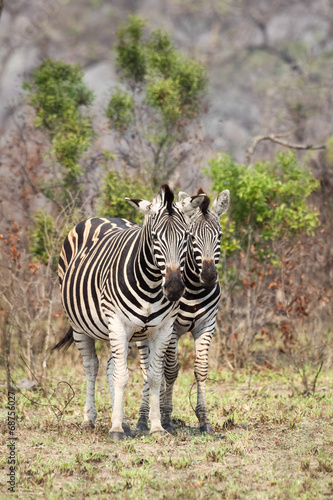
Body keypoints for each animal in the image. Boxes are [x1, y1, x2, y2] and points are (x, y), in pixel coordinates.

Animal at [53, 186, 204, 440]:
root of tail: (100, 217)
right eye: (155, 238)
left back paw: (123, 421)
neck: (151, 284)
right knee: (92, 366)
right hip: (80, 325)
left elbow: (154, 376)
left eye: (186, 237)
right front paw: (115, 429)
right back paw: (89, 419)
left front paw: (156, 427)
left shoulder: (163, 329)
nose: (174, 288)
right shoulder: (117, 323)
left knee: (109, 367)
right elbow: (122, 376)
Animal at [134, 188, 228, 434]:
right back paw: (143, 419)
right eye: (192, 237)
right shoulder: (173, 328)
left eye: (219, 236)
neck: (194, 288)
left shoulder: (207, 325)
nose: (209, 277)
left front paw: (204, 420)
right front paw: (165, 418)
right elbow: (170, 370)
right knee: (147, 370)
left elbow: (201, 369)